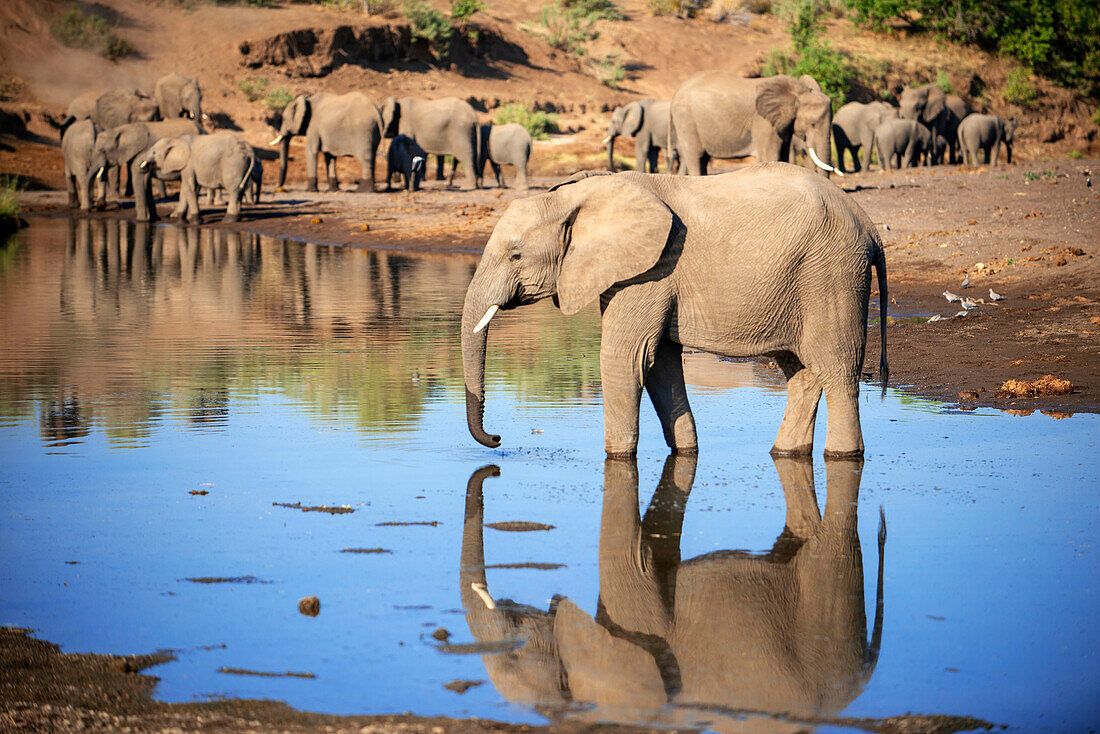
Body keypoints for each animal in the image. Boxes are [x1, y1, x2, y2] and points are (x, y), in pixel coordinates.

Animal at [664, 71, 836, 178]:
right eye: (812, 124)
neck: (796, 92)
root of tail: (675, 94)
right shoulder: (763, 122)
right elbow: (770, 157)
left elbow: (783, 157)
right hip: (686, 119)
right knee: (695, 156)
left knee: (703, 159)